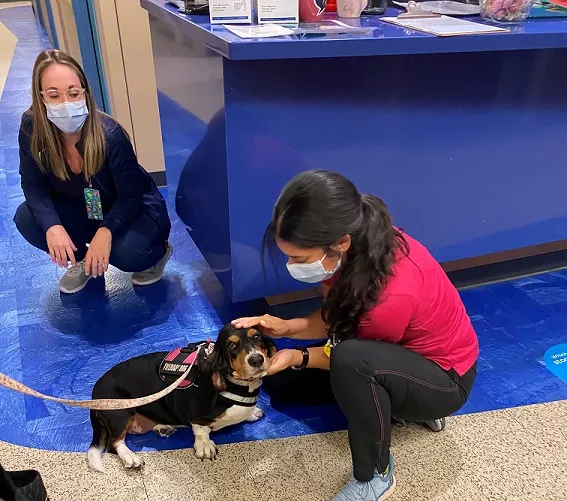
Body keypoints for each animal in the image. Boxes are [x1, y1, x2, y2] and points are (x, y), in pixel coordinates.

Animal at [86, 322, 278, 470]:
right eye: (231, 345)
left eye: (257, 337)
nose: (256, 360)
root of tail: (94, 392)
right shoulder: (196, 415)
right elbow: (201, 429)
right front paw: (205, 446)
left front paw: (253, 412)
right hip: (120, 412)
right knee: (114, 442)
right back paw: (130, 457)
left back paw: (162, 428)